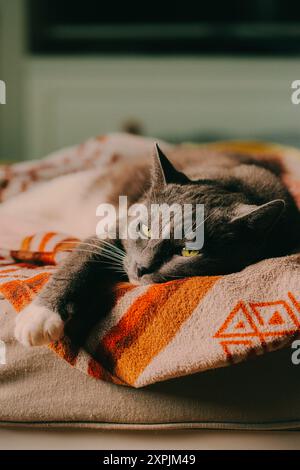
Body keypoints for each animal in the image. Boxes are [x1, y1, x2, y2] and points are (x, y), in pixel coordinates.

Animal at [13, 145, 300, 346]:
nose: (141, 267)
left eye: (188, 251)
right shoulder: (115, 227)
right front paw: (39, 317)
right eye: (145, 228)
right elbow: (81, 258)